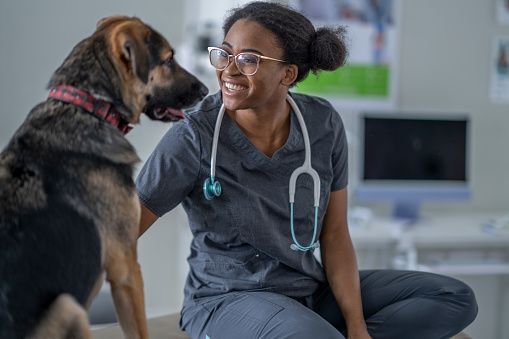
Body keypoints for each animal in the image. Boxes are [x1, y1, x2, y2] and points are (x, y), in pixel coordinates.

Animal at [0, 15, 206, 339]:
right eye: (169, 60)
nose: (206, 89)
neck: (88, 105)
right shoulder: (126, 269)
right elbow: (139, 331)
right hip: (69, 307)